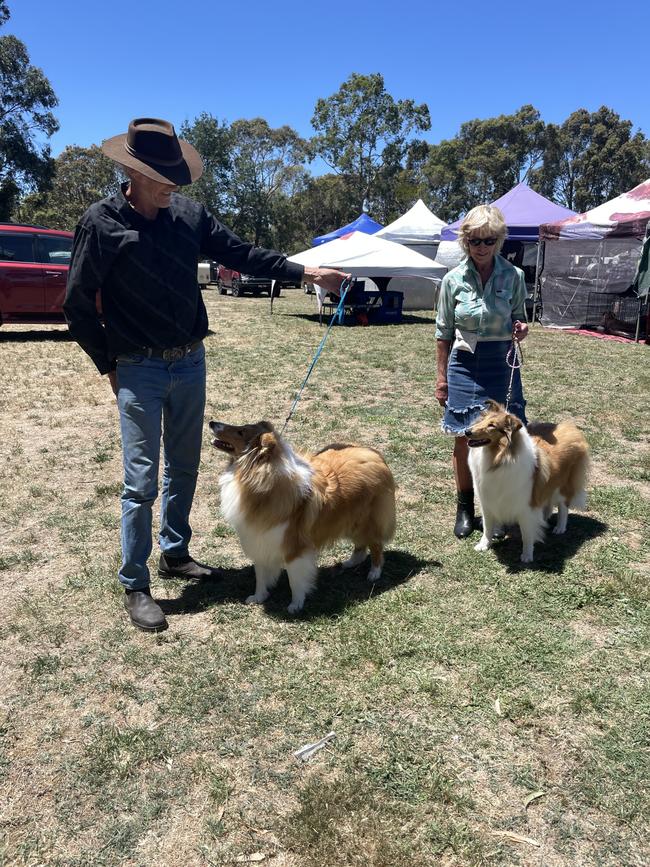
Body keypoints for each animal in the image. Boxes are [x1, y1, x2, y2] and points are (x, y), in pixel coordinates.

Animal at [208, 418, 392, 612]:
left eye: (241, 432)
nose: (211, 422)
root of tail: (374, 453)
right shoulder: (258, 539)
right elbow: (261, 575)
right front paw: (259, 597)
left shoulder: (294, 548)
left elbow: (294, 581)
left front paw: (295, 605)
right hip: (350, 520)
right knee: (361, 545)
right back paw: (350, 562)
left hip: (367, 520)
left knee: (376, 545)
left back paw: (374, 573)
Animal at [464, 400, 584, 564]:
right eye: (482, 420)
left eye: (492, 426)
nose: (466, 431)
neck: (499, 457)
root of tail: (570, 427)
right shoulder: (487, 501)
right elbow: (488, 527)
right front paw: (483, 545)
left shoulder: (525, 507)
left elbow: (527, 534)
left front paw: (527, 555)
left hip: (562, 486)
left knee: (563, 507)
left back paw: (560, 527)